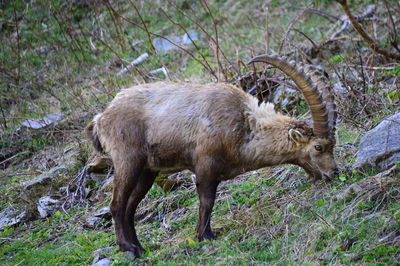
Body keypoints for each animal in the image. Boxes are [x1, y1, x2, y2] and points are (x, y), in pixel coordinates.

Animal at [85, 54, 338, 258]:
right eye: (318, 147)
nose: (334, 172)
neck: (245, 126)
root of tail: (101, 118)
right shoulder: (205, 167)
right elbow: (207, 201)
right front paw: (204, 235)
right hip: (128, 161)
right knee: (116, 204)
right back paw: (128, 248)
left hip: (147, 172)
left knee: (129, 207)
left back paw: (138, 247)